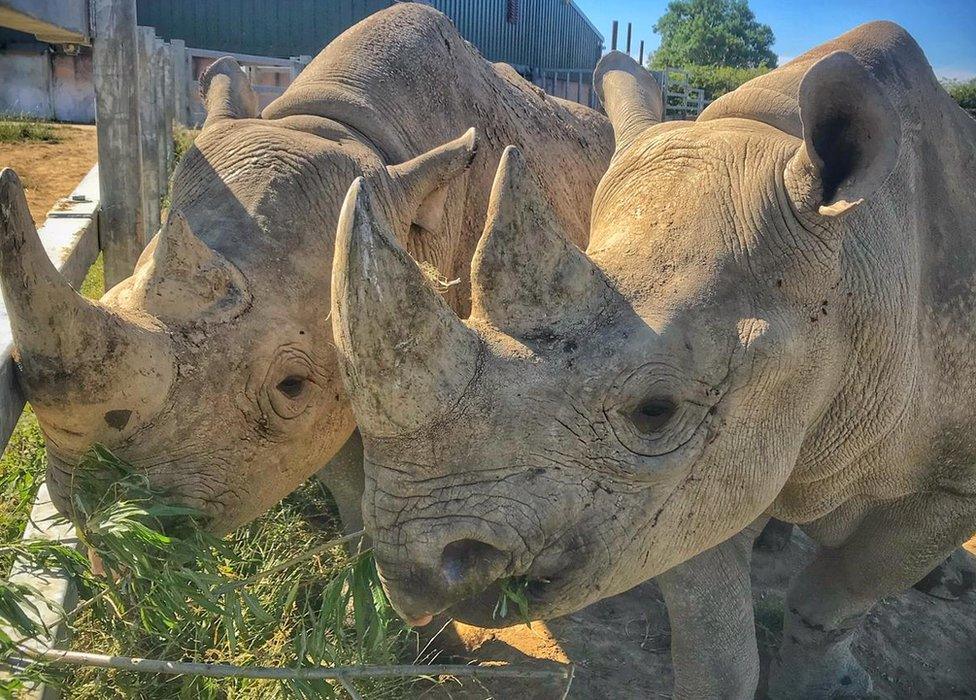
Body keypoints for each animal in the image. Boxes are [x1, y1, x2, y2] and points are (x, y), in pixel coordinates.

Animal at [330, 19, 976, 696]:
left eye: (655, 410)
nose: (412, 570)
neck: (855, 263)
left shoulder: (953, 484)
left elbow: (840, 596)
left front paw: (832, 686)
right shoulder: (689, 490)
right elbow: (714, 638)